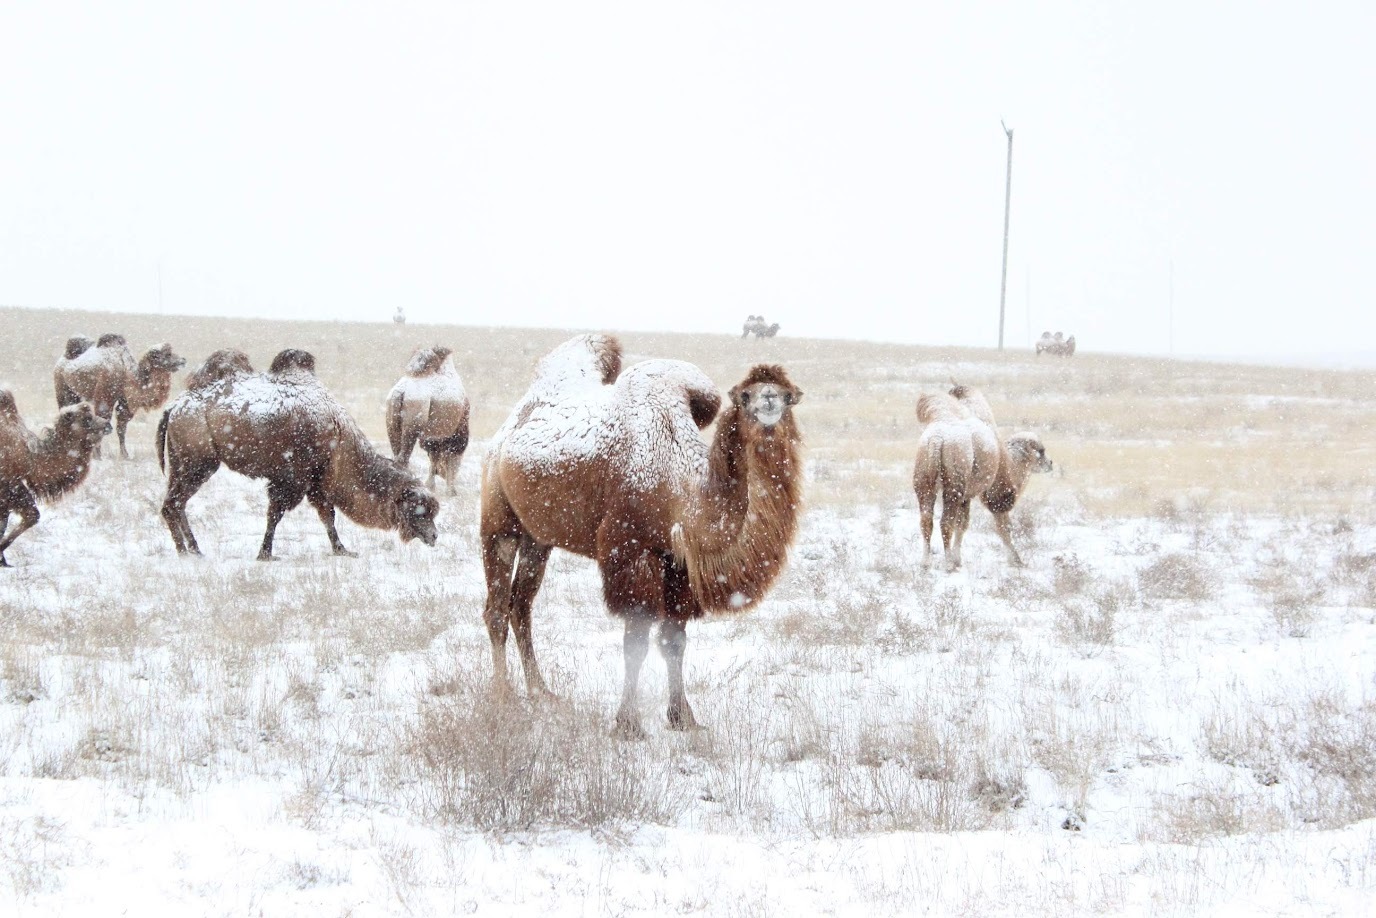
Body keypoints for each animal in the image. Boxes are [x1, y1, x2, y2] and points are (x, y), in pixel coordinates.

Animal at [53, 334, 187, 459]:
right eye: (167, 354)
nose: (183, 360)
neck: (126, 373)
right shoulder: (105, 398)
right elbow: (103, 421)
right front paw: (97, 455)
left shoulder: (125, 403)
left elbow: (121, 428)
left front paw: (125, 455)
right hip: (63, 389)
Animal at [160, 346, 440, 556]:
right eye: (419, 509)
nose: (435, 535)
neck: (339, 437)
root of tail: (174, 408)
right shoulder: (292, 477)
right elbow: (276, 514)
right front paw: (265, 553)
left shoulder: (317, 479)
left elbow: (327, 515)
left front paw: (342, 550)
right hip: (198, 462)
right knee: (175, 502)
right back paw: (186, 551)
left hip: (181, 462)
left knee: (173, 502)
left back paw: (193, 549)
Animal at [388, 344, 473, 495]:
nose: (441, 473)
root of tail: (400, 392)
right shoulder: (457, 432)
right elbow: (450, 456)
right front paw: (450, 491)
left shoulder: (432, 436)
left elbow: (433, 456)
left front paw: (430, 486)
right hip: (412, 427)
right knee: (403, 458)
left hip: (392, 425)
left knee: (396, 455)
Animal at [484, 334, 803, 737]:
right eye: (745, 395)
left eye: (790, 394)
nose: (769, 402)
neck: (680, 489)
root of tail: (507, 430)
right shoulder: (631, 551)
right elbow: (635, 641)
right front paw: (628, 723)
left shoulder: (678, 563)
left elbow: (674, 639)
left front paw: (683, 718)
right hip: (497, 517)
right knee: (496, 608)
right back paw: (503, 696)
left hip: (538, 538)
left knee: (521, 605)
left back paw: (542, 693)